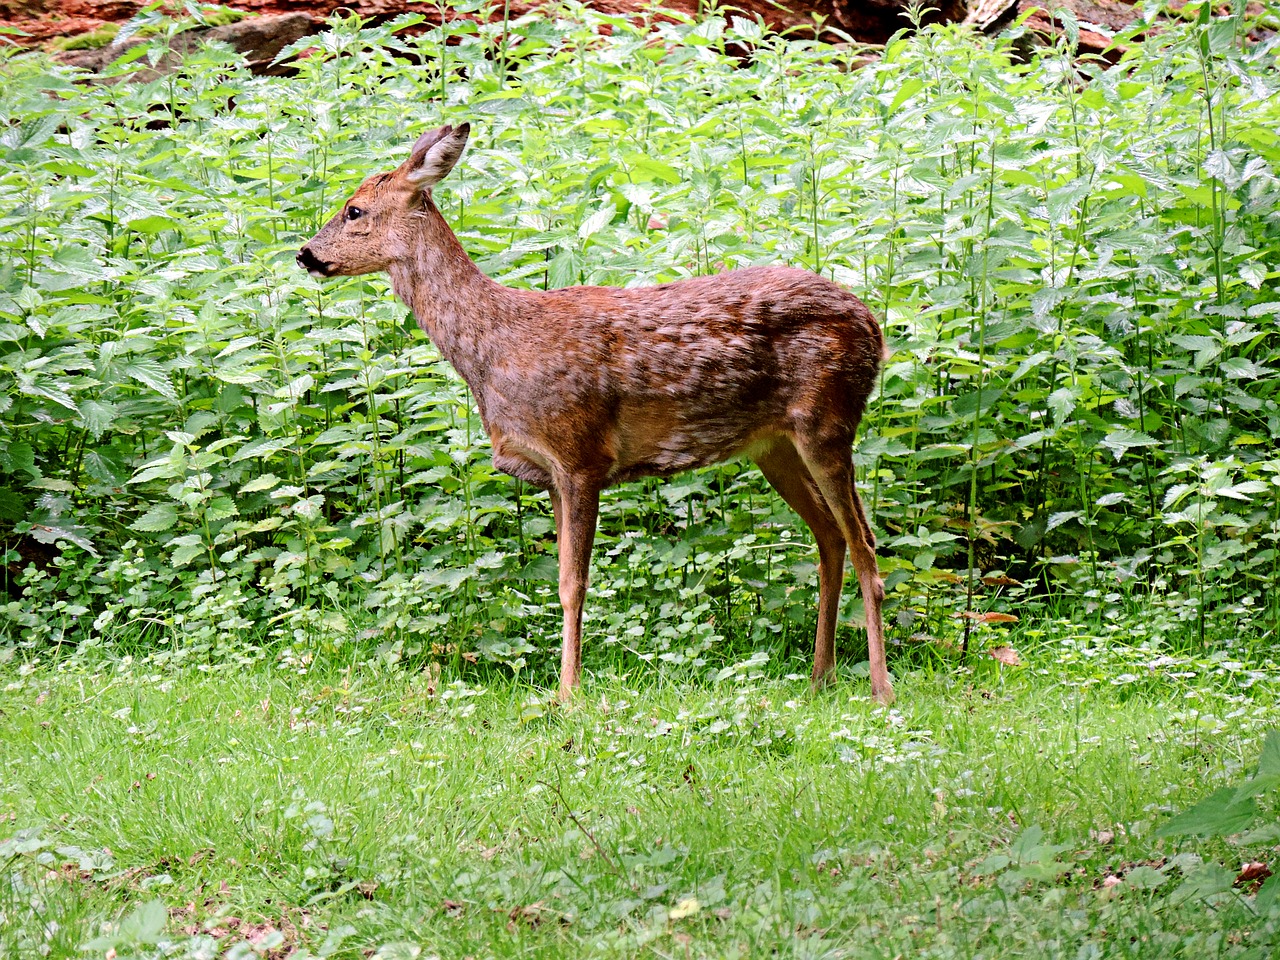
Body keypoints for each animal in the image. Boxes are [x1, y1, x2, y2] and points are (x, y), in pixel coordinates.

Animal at [299, 122, 896, 706]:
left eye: (354, 210)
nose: (305, 254)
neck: (496, 351)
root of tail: (874, 326)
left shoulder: (580, 453)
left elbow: (573, 584)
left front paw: (569, 693)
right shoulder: (548, 473)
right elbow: (561, 581)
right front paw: (565, 688)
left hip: (828, 421)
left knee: (866, 545)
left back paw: (880, 689)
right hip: (774, 446)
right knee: (831, 538)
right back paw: (820, 677)